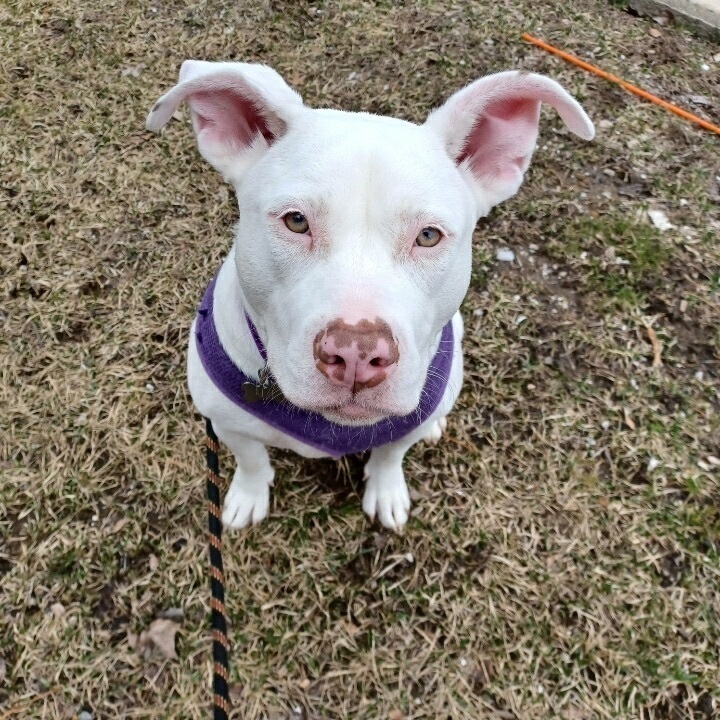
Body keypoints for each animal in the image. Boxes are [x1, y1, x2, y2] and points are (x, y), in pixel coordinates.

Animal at [148, 63, 596, 528]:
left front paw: (386, 491)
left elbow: (390, 453)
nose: (356, 354)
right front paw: (247, 495)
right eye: (295, 221)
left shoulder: (401, 427)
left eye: (428, 235)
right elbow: (252, 458)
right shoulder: (224, 421)